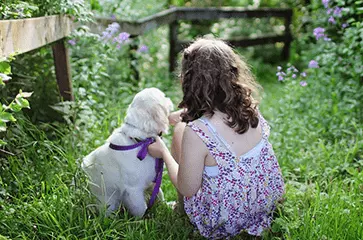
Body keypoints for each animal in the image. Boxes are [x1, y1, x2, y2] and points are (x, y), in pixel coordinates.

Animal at [82, 87, 173, 217]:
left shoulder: (153, 180)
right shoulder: (133, 190)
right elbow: (141, 208)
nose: (170, 99)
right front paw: (142, 221)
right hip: (108, 202)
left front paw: (167, 206)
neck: (140, 141)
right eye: (164, 97)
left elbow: (160, 194)